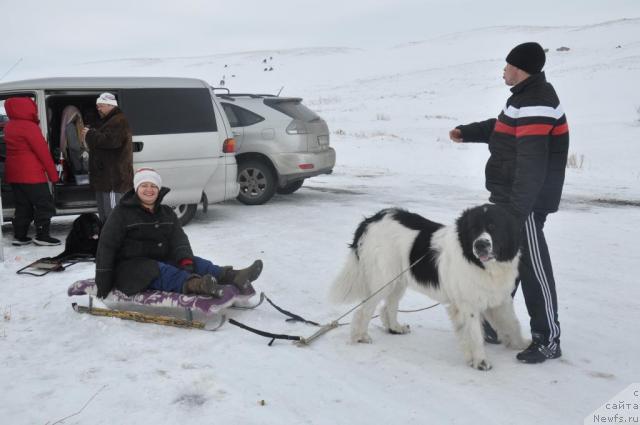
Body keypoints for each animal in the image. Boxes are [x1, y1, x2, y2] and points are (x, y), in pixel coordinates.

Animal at [332, 204, 528, 370]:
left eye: (494, 227)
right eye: (473, 229)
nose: (480, 245)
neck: (483, 266)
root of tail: (372, 219)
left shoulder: (500, 299)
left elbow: (512, 323)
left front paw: (522, 345)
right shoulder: (468, 305)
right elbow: (475, 334)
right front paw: (480, 361)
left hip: (398, 279)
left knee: (389, 306)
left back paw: (395, 328)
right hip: (384, 279)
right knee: (364, 309)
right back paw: (360, 336)